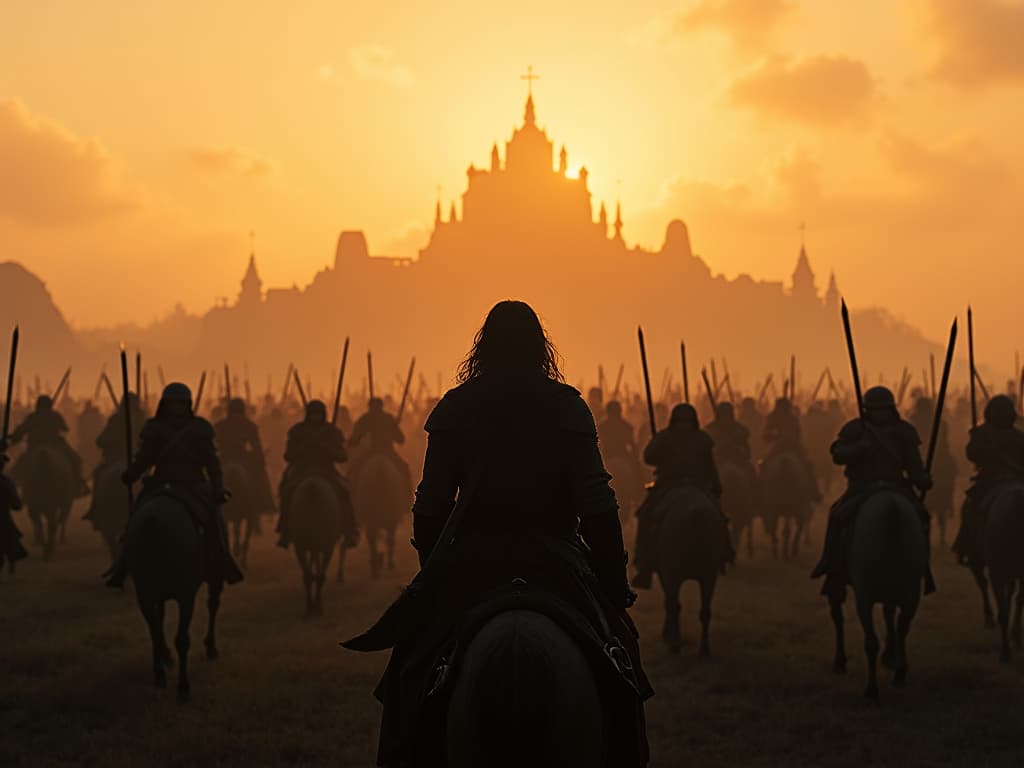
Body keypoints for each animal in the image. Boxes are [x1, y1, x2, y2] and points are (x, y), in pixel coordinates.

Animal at [124, 493, 221, 704]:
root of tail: (152, 523)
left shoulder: (155, 594)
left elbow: (159, 620)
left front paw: (166, 659)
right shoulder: (202, 584)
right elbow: (212, 606)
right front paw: (210, 648)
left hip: (144, 592)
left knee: (154, 631)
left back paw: (160, 673)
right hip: (187, 594)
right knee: (183, 637)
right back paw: (182, 686)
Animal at [655, 487, 720, 655]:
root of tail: (695, 514)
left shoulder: (665, 573)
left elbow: (670, 603)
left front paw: (668, 635)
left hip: (671, 574)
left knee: (674, 605)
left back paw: (675, 644)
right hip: (709, 575)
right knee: (705, 611)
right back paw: (704, 649)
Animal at [827, 493, 925, 704]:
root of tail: (891, 509)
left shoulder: (856, 591)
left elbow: (840, 617)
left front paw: (840, 662)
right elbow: (890, 615)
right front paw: (890, 657)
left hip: (863, 594)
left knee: (870, 640)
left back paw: (871, 688)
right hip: (911, 593)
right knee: (902, 628)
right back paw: (899, 673)